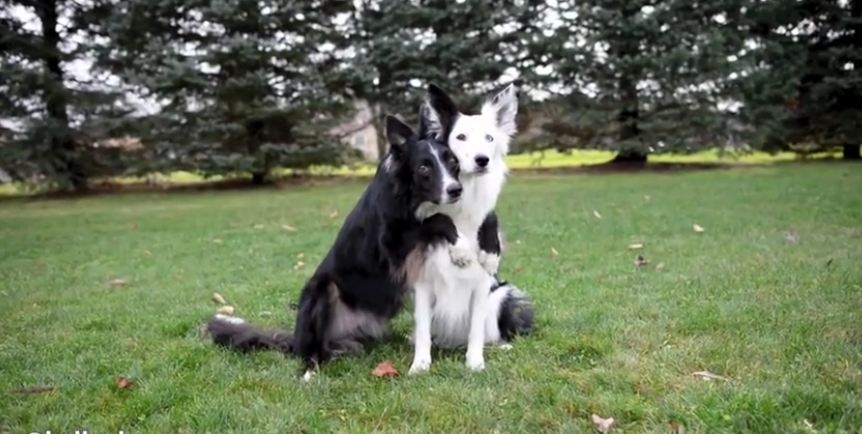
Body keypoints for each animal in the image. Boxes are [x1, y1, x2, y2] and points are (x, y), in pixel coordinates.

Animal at [208, 112, 466, 380]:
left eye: (452, 162)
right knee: (312, 353)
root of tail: (296, 339)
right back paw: (310, 372)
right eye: (423, 167)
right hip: (323, 290)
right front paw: (458, 243)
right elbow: (435, 219)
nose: (456, 190)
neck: (406, 193)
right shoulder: (391, 244)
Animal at [410, 84, 536, 372]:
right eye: (461, 137)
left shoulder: (481, 286)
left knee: (489, 333)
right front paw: (420, 365)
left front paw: (475, 363)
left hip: (500, 295)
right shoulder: (423, 283)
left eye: (489, 138)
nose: (482, 160)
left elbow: (476, 330)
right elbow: (422, 330)